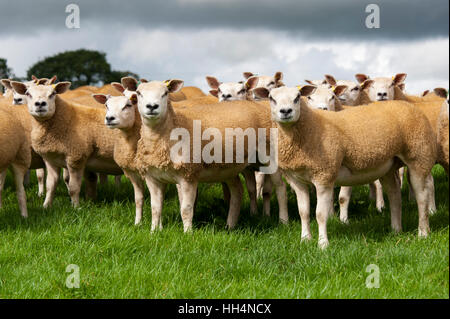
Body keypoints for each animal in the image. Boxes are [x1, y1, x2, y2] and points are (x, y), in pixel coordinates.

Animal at [10, 81, 123, 209]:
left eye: (53, 93)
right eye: (28, 94)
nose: (40, 104)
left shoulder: (76, 158)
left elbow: (73, 188)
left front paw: (76, 208)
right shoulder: (50, 160)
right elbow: (50, 185)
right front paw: (46, 206)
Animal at [134, 79, 288, 231]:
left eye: (165, 93)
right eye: (139, 93)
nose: (152, 106)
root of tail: (254, 103)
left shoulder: (188, 175)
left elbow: (186, 209)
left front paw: (188, 233)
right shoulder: (153, 178)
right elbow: (155, 208)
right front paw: (154, 232)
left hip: (270, 155)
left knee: (280, 187)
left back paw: (283, 221)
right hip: (229, 167)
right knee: (237, 191)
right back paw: (230, 225)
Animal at [255, 85, 438, 250]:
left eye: (298, 97)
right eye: (271, 98)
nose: (286, 111)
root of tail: (407, 104)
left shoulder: (324, 175)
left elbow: (320, 214)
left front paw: (323, 244)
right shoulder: (296, 180)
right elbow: (303, 212)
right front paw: (305, 240)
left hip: (419, 156)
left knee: (422, 196)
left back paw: (423, 232)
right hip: (389, 165)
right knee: (394, 195)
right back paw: (396, 230)